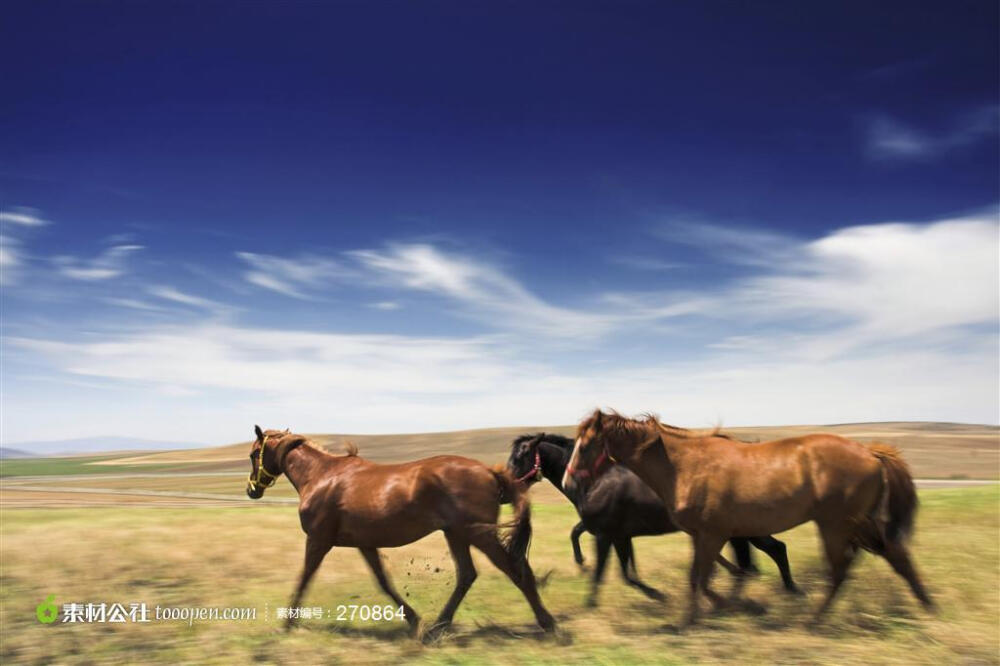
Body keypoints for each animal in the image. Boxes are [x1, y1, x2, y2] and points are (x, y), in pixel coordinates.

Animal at [243, 422, 556, 636]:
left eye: (253, 454)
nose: (251, 491)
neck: (321, 477)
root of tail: (489, 471)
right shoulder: (364, 543)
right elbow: (384, 582)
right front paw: (414, 621)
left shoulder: (318, 540)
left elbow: (305, 577)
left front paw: (287, 623)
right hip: (456, 534)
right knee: (468, 575)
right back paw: (437, 627)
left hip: (479, 534)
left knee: (515, 571)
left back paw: (548, 623)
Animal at [508, 430, 796, 600]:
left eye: (519, 458)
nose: (506, 483)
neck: (596, 479)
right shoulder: (619, 535)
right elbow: (625, 571)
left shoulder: (605, 535)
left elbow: (605, 572)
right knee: (761, 554)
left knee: (772, 550)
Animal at [560, 410, 932, 624]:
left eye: (586, 445)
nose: (569, 482)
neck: (683, 466)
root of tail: (871, 453)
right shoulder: (704, 536)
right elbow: (705, 577)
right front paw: (721, 608)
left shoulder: (714, 534)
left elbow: (704, 578)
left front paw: (705, 614)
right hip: (857, 524)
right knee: (895, 556)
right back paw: (927, 607)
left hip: (837, 525)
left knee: (841, 569)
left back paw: (814, 619)